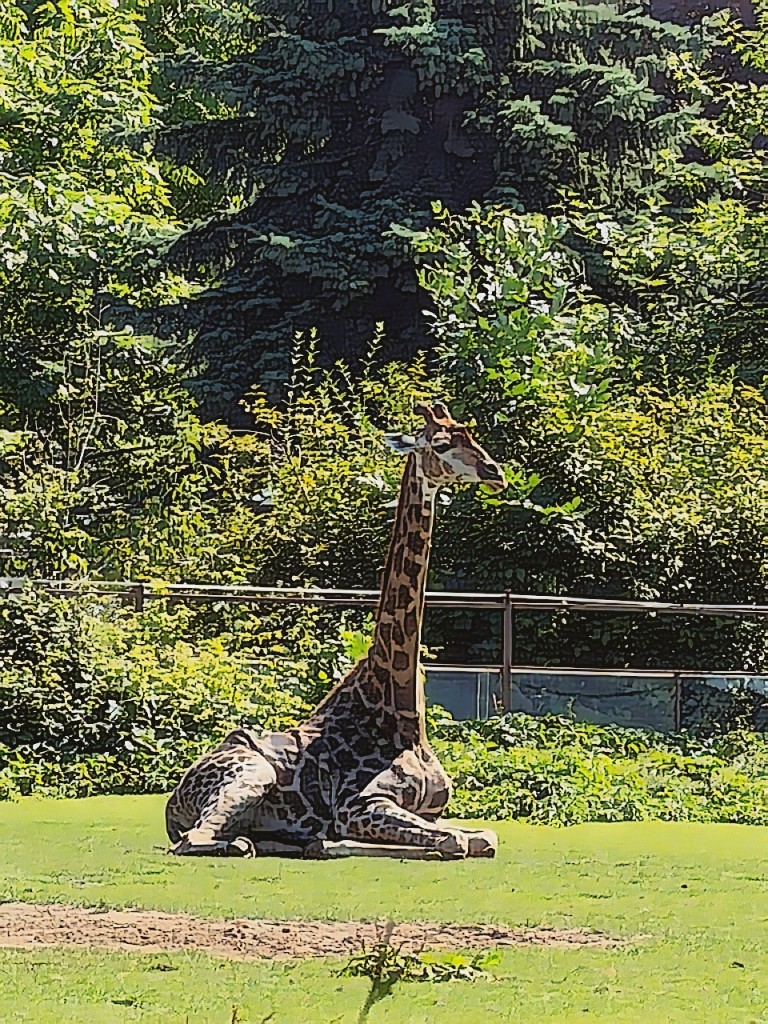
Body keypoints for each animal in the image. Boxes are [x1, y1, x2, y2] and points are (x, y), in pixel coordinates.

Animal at [165, 401, 507, 860]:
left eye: (472, 436)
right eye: (439, 443)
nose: (494, 471)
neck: (403, 713)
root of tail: (171, 802)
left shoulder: (432, 810)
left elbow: (483, 837)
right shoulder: (358, 804)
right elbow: (456, 841)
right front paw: (328, 841)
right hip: (251, 774)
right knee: (196, 840)